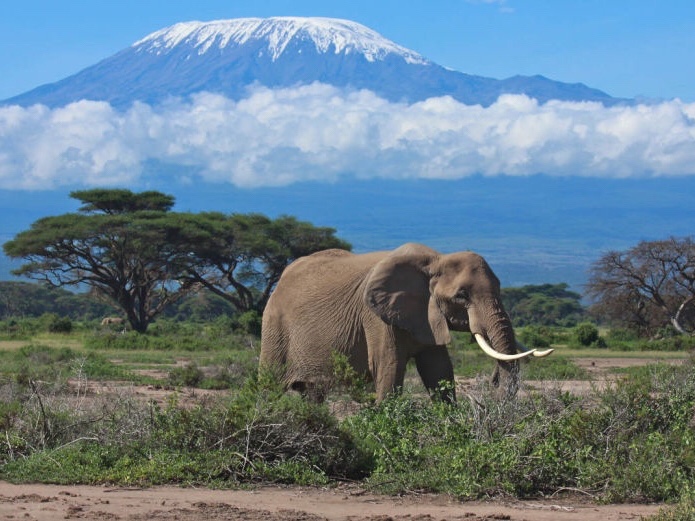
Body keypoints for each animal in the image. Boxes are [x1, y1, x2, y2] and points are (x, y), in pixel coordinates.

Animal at [259, 243, 552, 403]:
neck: (435, 261)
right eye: (462, 295)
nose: (492, 381)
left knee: (312, 394)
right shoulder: (375, 317)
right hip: (274, 326)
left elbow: (439, 370)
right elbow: (388, 368)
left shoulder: (427, 315)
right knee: (269, 385)